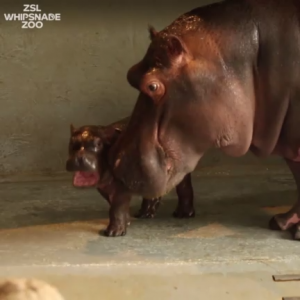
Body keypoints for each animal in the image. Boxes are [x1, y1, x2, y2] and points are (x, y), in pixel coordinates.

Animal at [65, 117, 195, 237]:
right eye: (72, 143)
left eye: (98, 143)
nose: (79, 158)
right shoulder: (103, 187)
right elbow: (113, 203)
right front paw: (127, 222)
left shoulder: (123, 187)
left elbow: (117, 207)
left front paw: (113, 233)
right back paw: (144, 214)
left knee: (184, 188)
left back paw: (182, 214)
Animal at [109, 0, 300, 239]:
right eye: (131, 74)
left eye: (152, 86)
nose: (115, 164)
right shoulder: (289, 141)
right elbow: (298, 177)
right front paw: (281, 222)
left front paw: (296, 232)